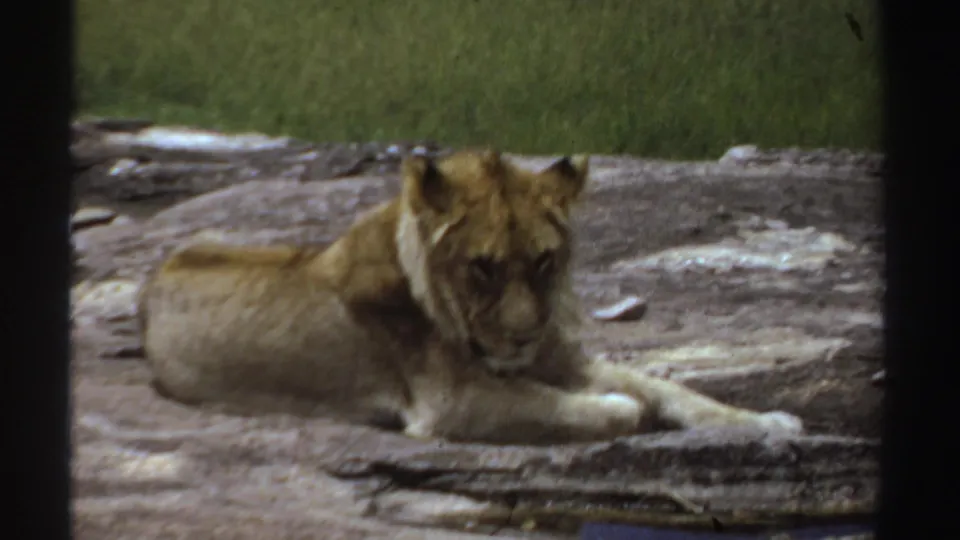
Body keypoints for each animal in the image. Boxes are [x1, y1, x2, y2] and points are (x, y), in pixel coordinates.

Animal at [138, 149, 803, 444]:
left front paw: (768, 421)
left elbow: (671, 388)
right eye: (482, 266)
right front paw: (620, 408)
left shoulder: (557, 358)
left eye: (543, 260)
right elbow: (575, 403)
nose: (523, 334)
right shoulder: (450, 402)